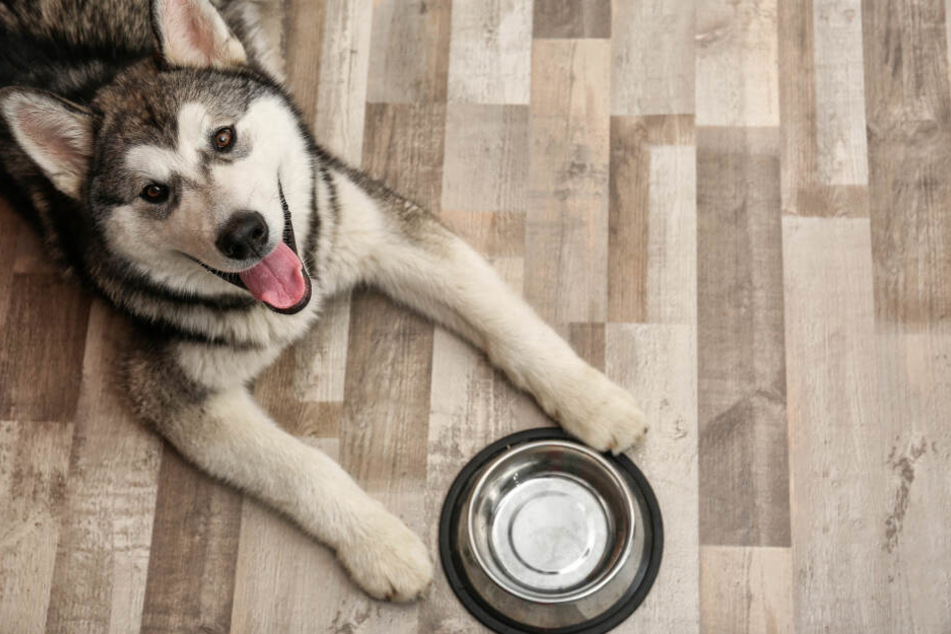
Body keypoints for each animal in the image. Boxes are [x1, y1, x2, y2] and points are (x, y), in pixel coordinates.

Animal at [0, 0, 648, 596]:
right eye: (154, 192)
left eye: (223, 137)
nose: (245, 234)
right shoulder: (168, 386)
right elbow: (302, 466)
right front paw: (378, 542)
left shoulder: (385, 228)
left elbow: (508, 322)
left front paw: (592, 400)